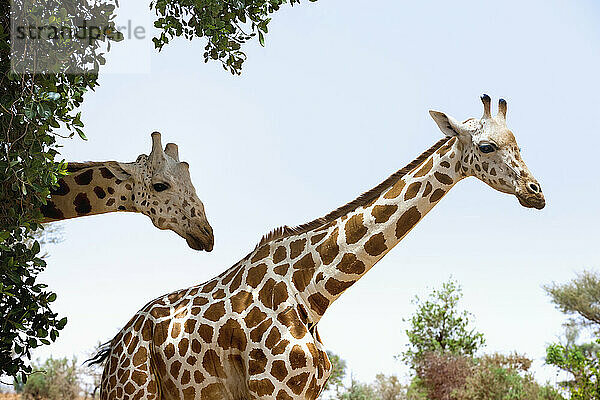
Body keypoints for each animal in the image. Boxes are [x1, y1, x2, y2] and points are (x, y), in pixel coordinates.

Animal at [92, 95, 544, 398]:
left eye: (519, 143)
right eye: (486, 146)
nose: (535, 193)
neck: (314, 291)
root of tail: (113, 350)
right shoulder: (271, 390)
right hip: (134, 391)